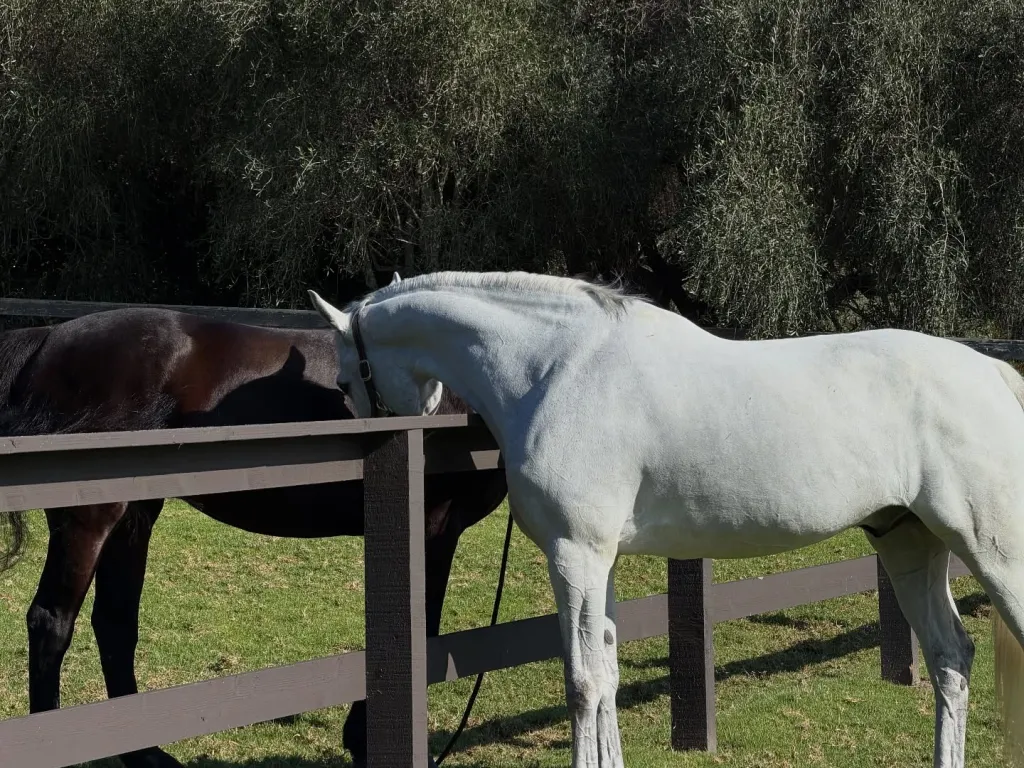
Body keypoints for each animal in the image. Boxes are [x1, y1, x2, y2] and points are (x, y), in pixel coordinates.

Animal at [0, 296, 508, 768]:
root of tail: (49, 338)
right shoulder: (433, 525)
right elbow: (421, 629)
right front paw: (363, 741)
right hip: (89, 517)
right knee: (51, 621)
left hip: (133, 517)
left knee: (114, 623)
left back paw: (148, 755)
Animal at [309, 270, 1024, 768]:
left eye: (344, 382)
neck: (557, 368)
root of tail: (992, 372)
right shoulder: (600, 560)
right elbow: (607, 674)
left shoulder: (574, 554)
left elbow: (581, 682)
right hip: (909, 543)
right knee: (950, 659)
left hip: (993, 552)